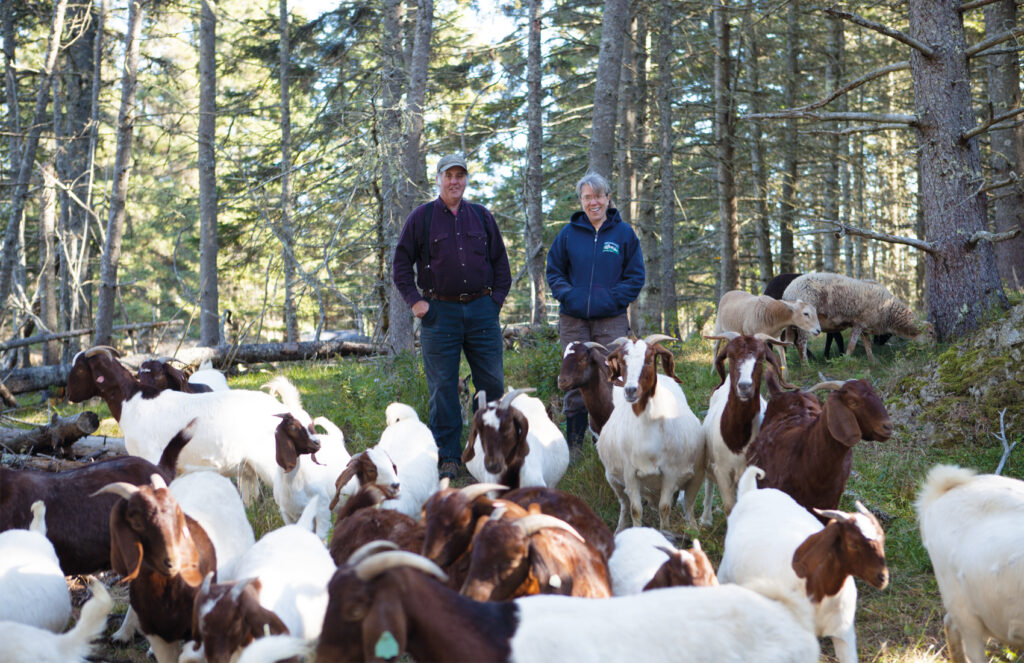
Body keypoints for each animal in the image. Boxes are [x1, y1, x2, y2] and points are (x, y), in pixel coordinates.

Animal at [593, 340, 704, 532]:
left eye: (650, 359)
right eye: (621, 362)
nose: (630, 390)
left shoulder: (670, 472)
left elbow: (664, 507)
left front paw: (665, 532)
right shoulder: (630, 473)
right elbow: (635, 509)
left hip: (696, 476)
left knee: (689, 504)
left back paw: (693, 529)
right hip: (613, 479)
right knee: (624, 504)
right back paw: (620, 529)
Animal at [716, 467, 892, 663]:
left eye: (882, 540)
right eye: (853, 543)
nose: (882, 577)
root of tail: (752, 491)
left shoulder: (844, 634)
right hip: (725, 575)